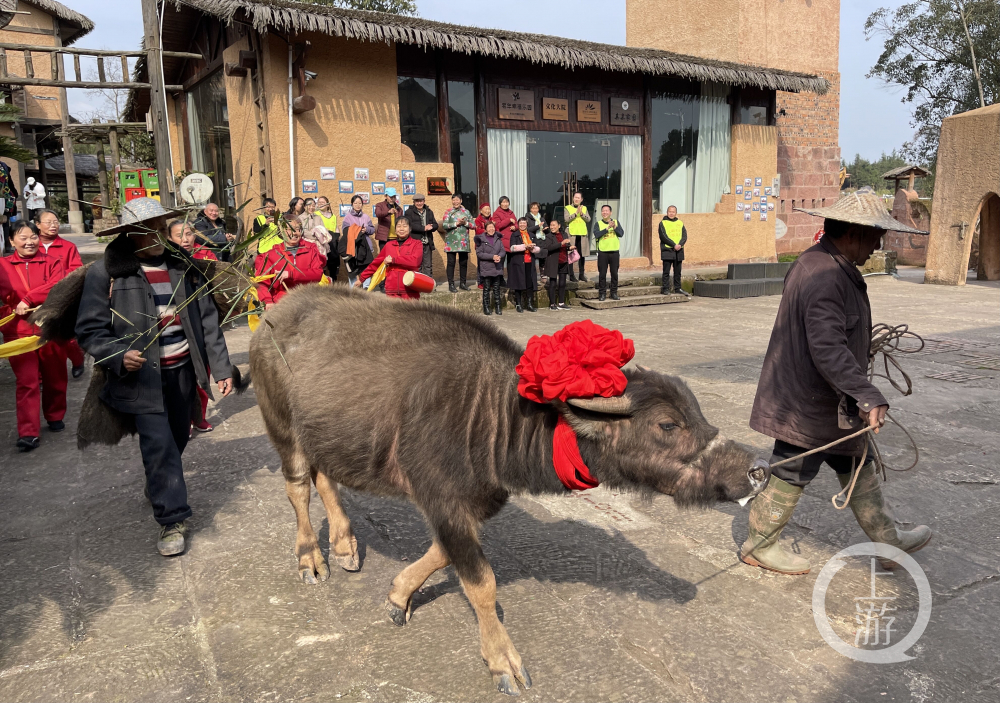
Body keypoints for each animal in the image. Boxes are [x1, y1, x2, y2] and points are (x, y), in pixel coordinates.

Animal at [246, 288, 768, 700]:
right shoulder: (444, 501)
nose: (757, 471)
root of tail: (272, 316)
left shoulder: (472, 503)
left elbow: (442, 555)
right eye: (667, 425)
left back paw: (345, 545)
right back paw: (312, 559)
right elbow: (481, 582)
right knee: (298, 488)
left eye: (696, 411)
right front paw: (503, 662)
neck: (489, 410)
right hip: (283, 430)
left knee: (325, 479)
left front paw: (398, 596)